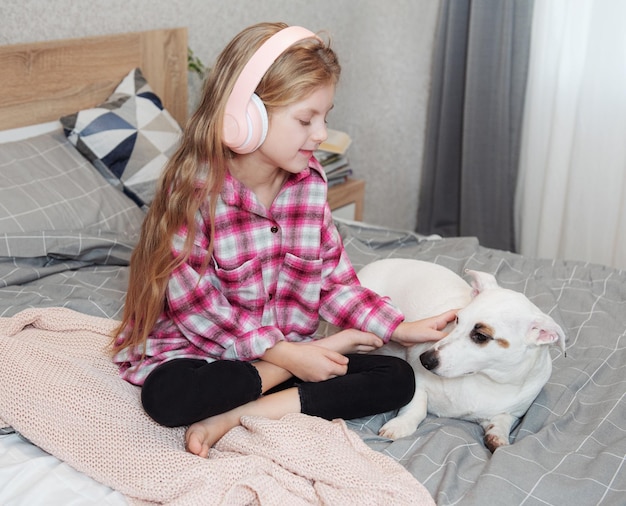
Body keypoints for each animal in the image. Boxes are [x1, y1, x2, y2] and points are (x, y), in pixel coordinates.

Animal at [356, 258, 564, 452]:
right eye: (457, 319)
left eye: (481, 336)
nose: (425, 360)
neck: (486, 381)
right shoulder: (417, 380)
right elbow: (416, 405)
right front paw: (401, 425)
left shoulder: (512, 412)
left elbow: (503, 419)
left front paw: (499, 437)